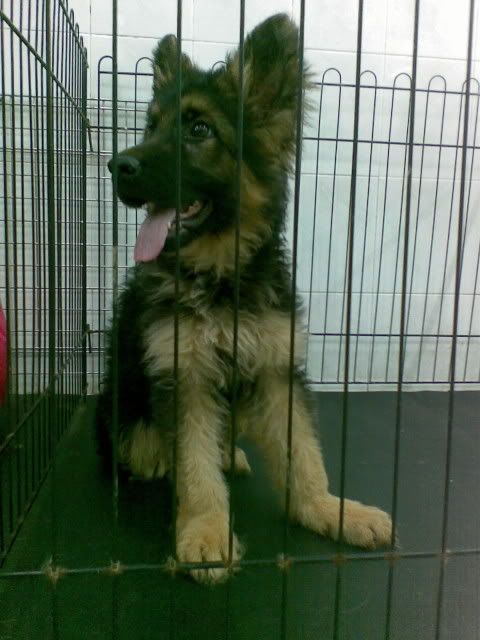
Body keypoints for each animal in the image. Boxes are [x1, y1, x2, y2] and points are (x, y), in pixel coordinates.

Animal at [96, 13, 393, 584]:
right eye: (151, 127)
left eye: (199, 130)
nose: (116, 166)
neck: (222, 277)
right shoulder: (183, 373)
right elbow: (193, 463)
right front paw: (207, 532)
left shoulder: (277, 368)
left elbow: (303, 454)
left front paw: (330, 509)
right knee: (135, 441)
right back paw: (154, 454)